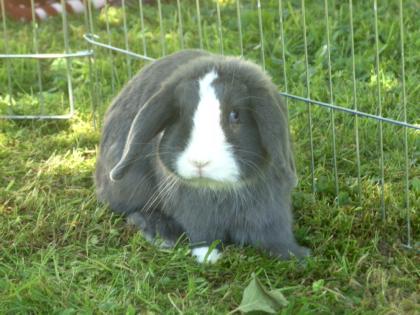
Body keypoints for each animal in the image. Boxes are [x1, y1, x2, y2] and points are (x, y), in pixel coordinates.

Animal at [96, 48, 312, 262]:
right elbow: (202, 234)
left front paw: (298, 256)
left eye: (235, 115)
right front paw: (208, 257)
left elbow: (276, 235)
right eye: (179, 115)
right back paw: (162, 235)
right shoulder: (194, 211)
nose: (200, 162)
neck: (221, 189)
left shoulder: (271, 209)